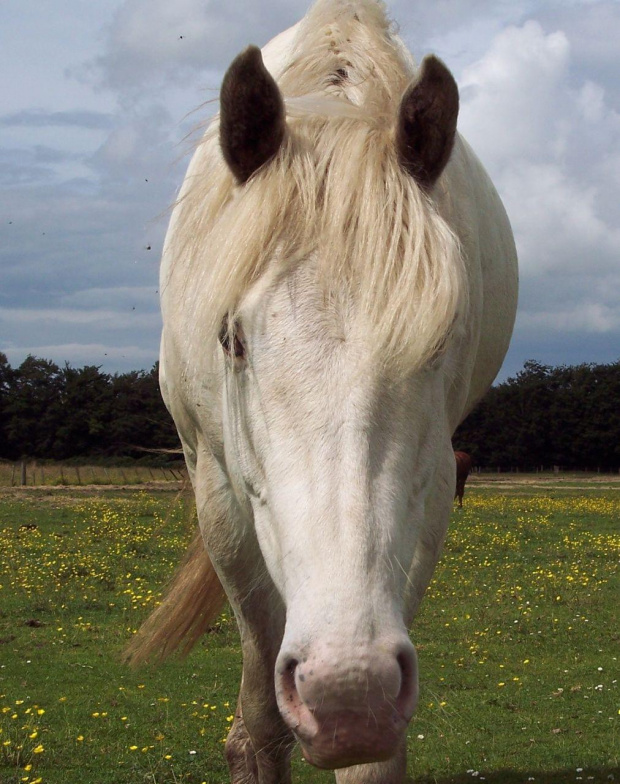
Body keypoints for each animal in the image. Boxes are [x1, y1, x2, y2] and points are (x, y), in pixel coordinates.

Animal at [130, 1, 520, 784]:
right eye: (232, 340)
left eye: (440, 344)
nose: (348, 695)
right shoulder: (222, 504)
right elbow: (260, 720)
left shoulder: (432, 495)